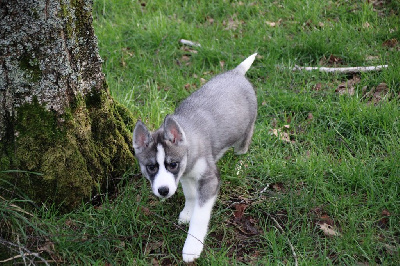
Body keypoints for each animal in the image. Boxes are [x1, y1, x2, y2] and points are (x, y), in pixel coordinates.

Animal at [133, 53, 258, 262]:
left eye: (172, 164)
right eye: (151, 167)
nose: (163, 191)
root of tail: (236, 72)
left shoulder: (209, 179)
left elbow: (200, 216)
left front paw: (192, 247)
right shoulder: (185, 175)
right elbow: (190, 195)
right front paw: (187, 212)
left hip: (245, 133)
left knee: (242, 151)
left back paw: (239, 167)